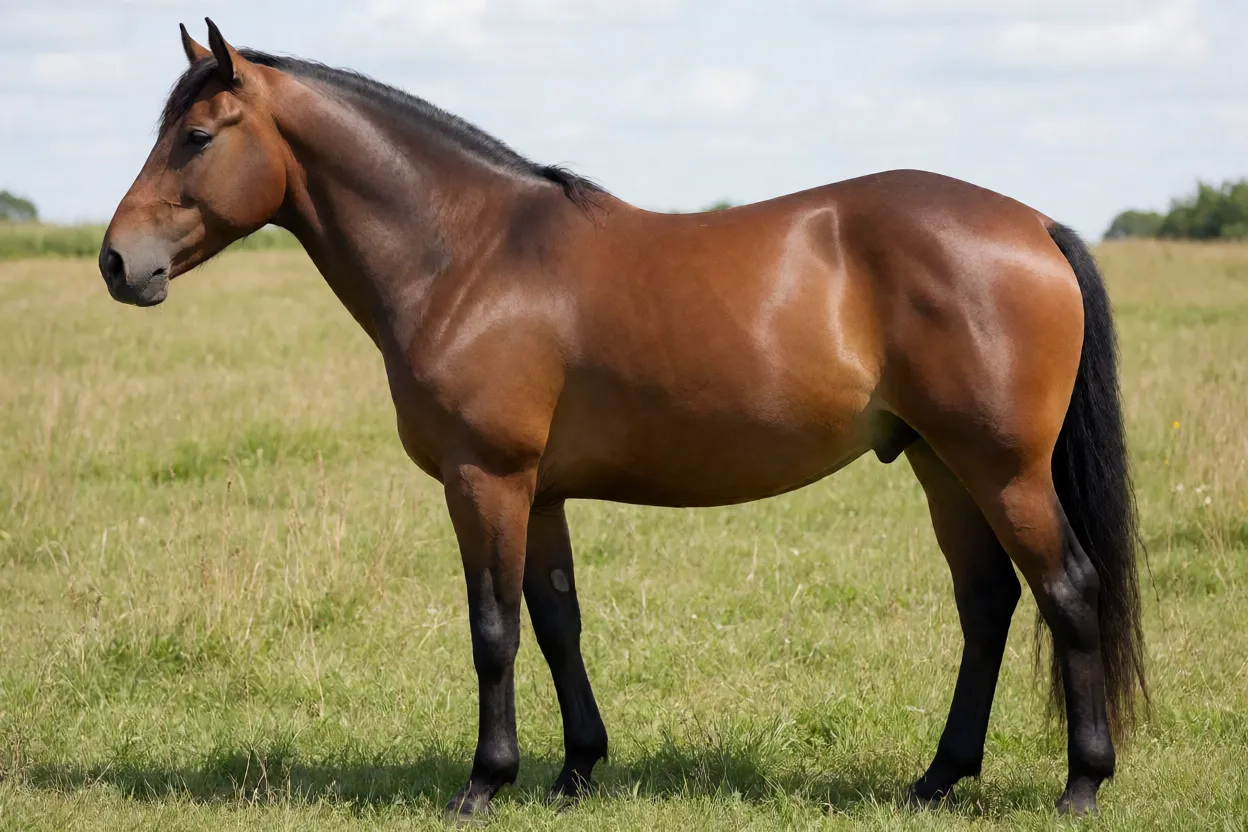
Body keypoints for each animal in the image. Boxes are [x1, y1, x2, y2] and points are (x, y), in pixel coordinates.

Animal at [100, 19, 1147, 822]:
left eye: (197, 136)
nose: (117, 262)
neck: (469, 255)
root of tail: (1034, 224)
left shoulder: (486, 479)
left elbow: (493, 629)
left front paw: (483, 784)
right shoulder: (540, 492)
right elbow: (557, 622)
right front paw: (575, 771)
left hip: (1003, 468)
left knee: (1067, 590)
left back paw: (1080, 788)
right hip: (939, 462)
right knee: (988, 603)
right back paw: (936, 780)